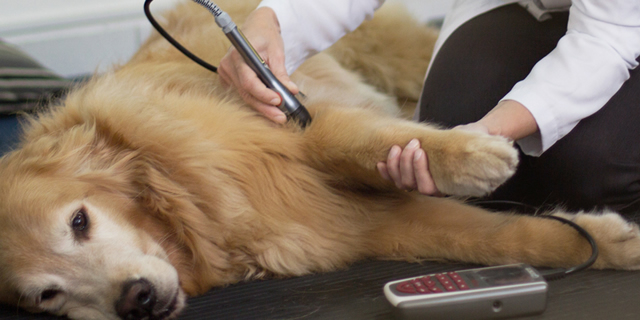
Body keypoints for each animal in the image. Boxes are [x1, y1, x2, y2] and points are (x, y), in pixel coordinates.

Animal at [1, 0, 640, 320]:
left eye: (79, 221)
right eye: (46, 297)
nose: (135, 302)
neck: (188, 202)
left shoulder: (292, 124)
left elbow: (363, 141)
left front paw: (470, 154)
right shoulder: (367, 225)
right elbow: (504, 238)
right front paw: (609, 242)